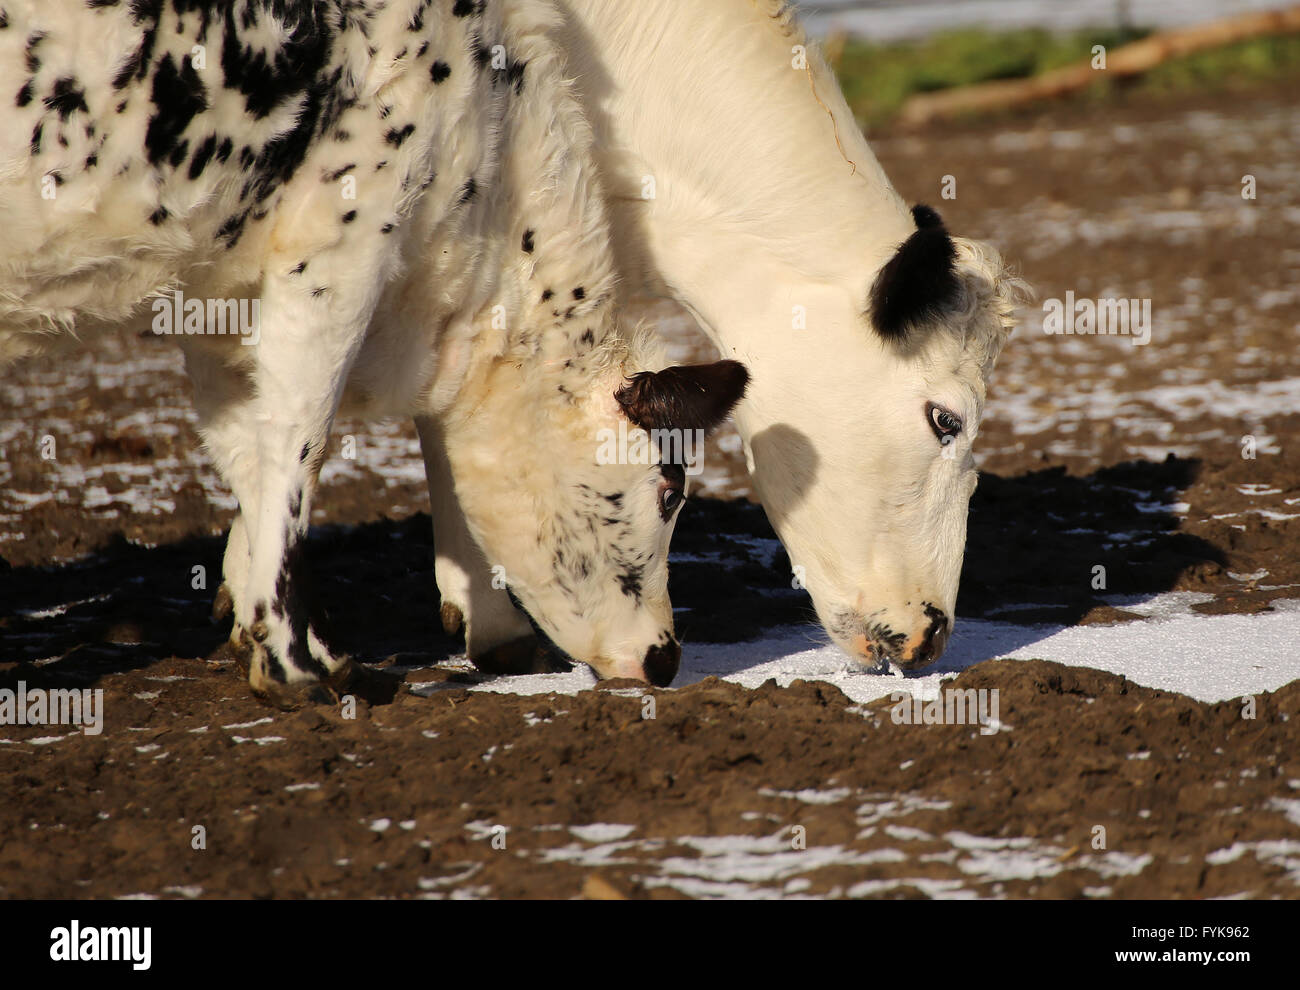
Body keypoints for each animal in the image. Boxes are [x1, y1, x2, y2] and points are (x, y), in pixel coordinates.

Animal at [0, 0, 747, 705]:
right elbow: (299, 444)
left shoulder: (220, 302)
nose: (665, 657)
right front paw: (296, 666)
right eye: (670, 491)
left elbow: (251, 455)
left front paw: (288, 639)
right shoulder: (335, 247)